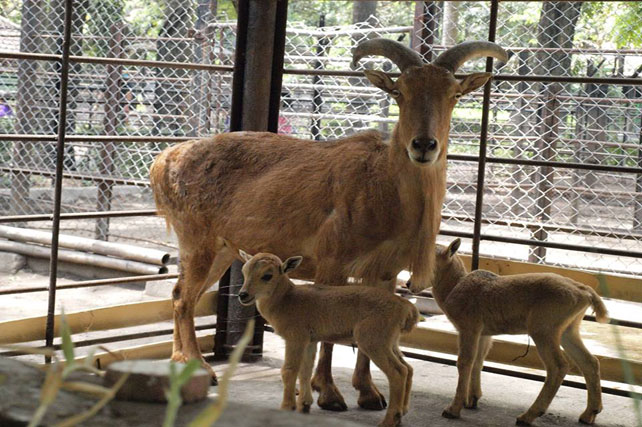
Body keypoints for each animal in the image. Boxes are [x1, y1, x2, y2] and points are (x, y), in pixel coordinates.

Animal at [238, 251, 418, 427]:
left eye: (267, 275)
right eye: (244, 271)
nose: (243, 295)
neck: (287, 300)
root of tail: (406, 308)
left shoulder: (295, 337)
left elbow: (289, 370)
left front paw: (286, 407)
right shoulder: (310, 340)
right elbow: (305, 370)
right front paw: (304, 405)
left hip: (373, 339)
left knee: (398, 372)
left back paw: (389, 420)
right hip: (390, 340)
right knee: (408, 368)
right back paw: (402, 412)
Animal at [424, 239, 604, 426]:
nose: (412, 284)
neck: (453, 287)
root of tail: (584, 293)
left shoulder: (468, 328)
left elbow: (464, 362)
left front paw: (452, 409)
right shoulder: (484, 333)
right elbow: (478, 361)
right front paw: (472, 399)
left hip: (543, 330)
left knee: (558, 366)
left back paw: (528, 416)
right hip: (568, 330)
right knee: (589, 362)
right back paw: (589, 413)